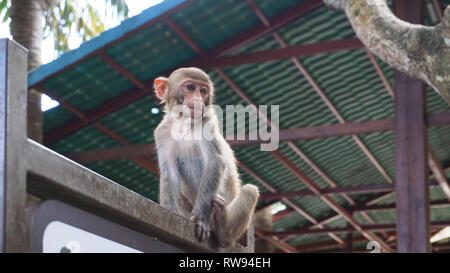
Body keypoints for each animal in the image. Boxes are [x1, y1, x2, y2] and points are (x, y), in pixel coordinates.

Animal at [153, 67, 260, 246]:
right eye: (190, 87)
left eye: (203, 91)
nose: (198, 99)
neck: (183, 123)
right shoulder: (162, 132)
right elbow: (170, 172)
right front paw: (169, 212)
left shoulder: (206, 123)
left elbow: (215, 162)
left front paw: (200, 219)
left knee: (250, 190)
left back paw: (223, 232)